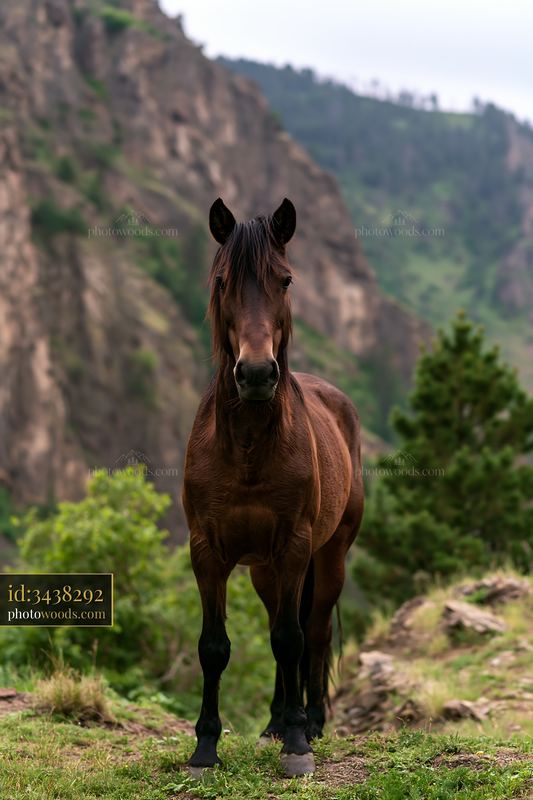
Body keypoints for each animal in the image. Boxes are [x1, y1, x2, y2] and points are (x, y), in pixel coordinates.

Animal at [182, 198, 364, 777]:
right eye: (222, 282)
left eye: (284, 280)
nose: (258, 374)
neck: (247, 449)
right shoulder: (208, 551)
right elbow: (214, 646)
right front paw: (205, 747)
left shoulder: (295, 547)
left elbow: (292, 638)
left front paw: (299, 746)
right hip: (264, 570)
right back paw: (275, 721)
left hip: (327, 558)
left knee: (315, 633)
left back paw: (310, 721)